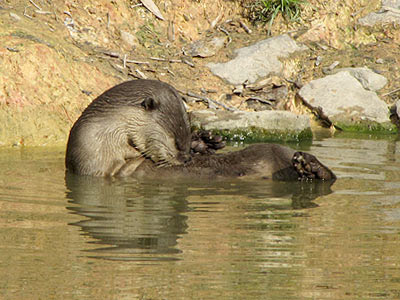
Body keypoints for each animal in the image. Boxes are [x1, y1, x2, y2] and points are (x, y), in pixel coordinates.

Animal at [67, 78, 336, 182]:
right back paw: (308, 168)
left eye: (185, 139)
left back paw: (308, 165)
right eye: (176, 142)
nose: (186, 158)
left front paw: (207, 141)